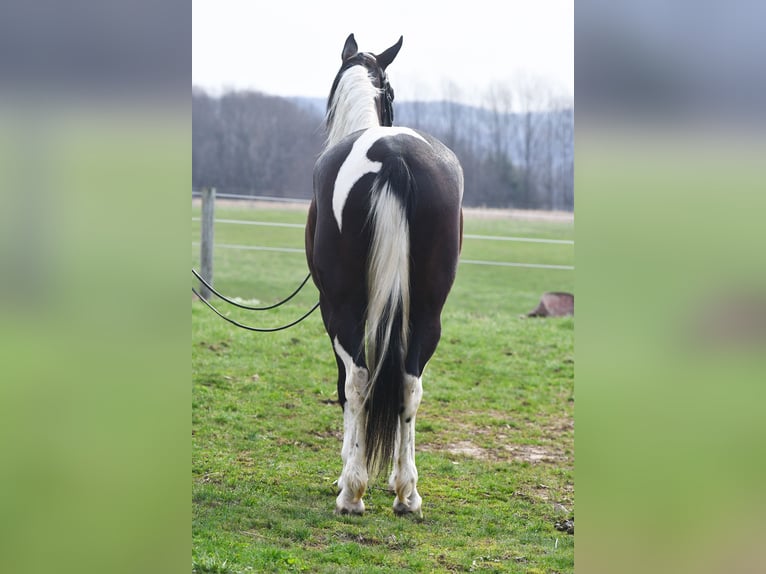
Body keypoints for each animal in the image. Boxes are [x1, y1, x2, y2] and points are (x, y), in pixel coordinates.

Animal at [305, 34, 464, 516]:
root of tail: (392, 154)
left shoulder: (330, 311)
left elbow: (344, 388)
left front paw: (345, 470)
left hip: (343, 308)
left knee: (356, 381)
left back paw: (351, 493)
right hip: (428, 311)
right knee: (411, 385)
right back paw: (406, 493)